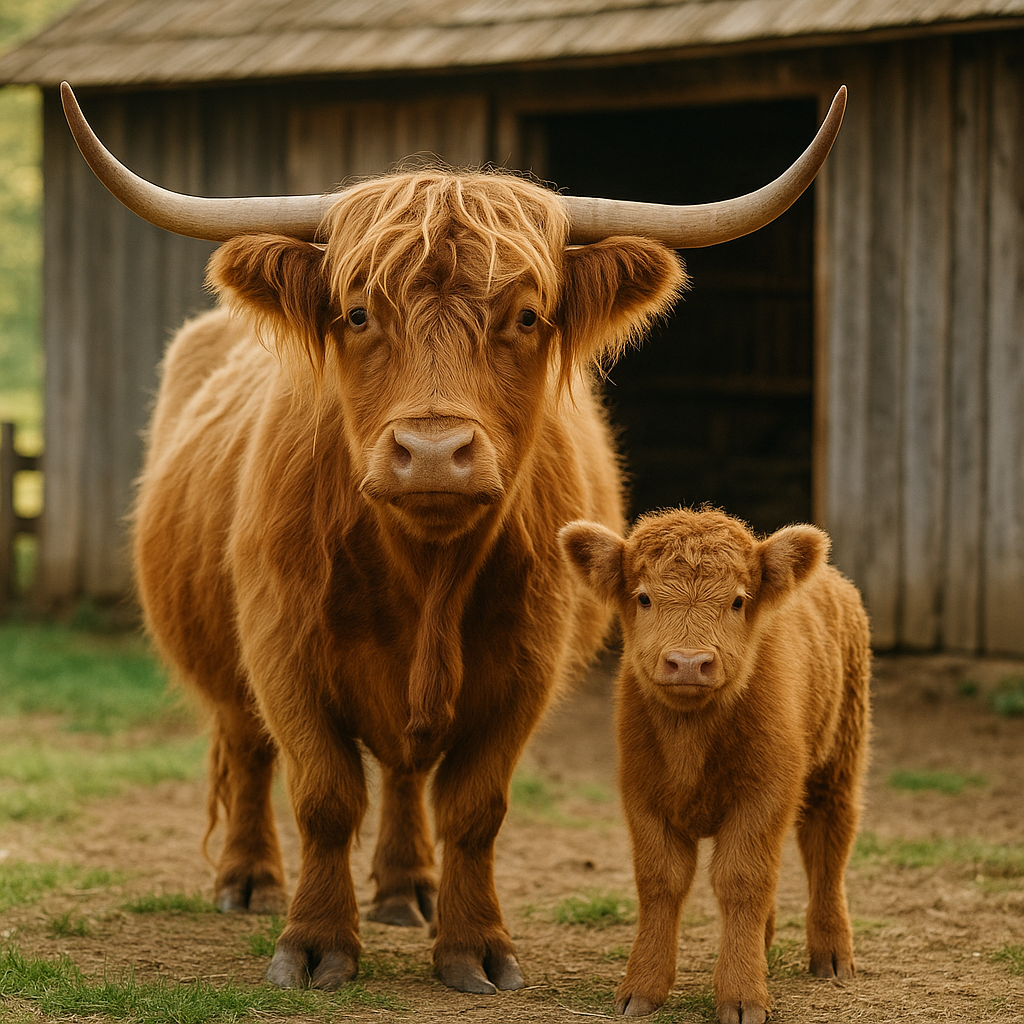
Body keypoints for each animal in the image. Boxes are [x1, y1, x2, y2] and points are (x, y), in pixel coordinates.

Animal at [59, 83, 846, 995]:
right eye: (357, 311)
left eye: (528, 316)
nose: (433, 451)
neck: (424, 573)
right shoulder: (281, 648)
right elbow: (324, 794)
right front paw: (315, 944)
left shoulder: (525, 664)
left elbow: (473, 807)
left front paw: (473, 946)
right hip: (220, 656)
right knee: (248, 748)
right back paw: (250, 879)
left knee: (405, 775)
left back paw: (407, 890)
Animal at [558, 508, 871, 1023]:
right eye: (643, 597)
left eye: (739, 601)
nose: (689, 662)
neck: (692, 742)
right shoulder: (643, 795)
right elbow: (661, 881)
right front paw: (641, 987)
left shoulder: (764, 793)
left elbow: (742, 880)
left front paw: (742, 996)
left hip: (840, 762)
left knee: (827, 846)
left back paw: (831, 954)